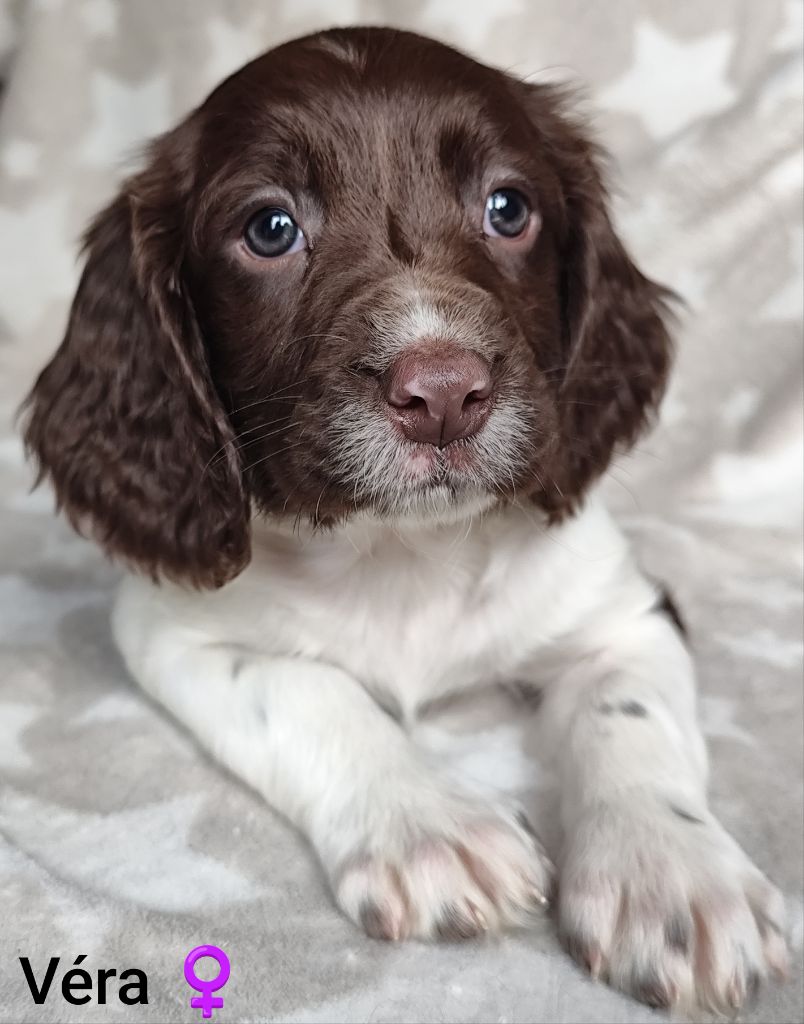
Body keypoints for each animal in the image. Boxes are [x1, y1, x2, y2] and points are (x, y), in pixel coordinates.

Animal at [23, 25, 782, 1015]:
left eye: (508, 208)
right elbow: (308, 693)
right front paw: (428, 826)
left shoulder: (623, 609)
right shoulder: (175, 631)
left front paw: (674, 873)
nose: (445, 393)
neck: (403, 550)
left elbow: (628, 714)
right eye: (270, 229)